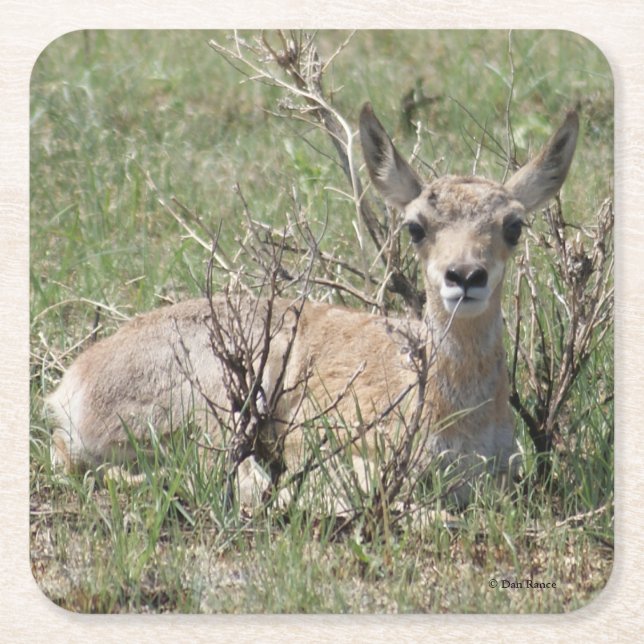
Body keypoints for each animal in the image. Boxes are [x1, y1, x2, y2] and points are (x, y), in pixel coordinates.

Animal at [45, 103, 579, 507]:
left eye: (513, 224)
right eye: (416, 225)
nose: (465, 276)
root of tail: (72, 383)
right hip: (221, 399)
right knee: (230, 477)